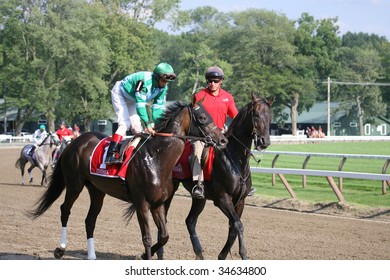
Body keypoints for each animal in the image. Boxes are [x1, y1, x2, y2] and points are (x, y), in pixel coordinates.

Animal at [29, 98, 227, 260]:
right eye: (203, 117)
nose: (223, 140)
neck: (157, 158)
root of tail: (75, 142)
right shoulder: (141, 203)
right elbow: (147, 238)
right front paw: (145, 255)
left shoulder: (157, 204)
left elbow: (164, 236)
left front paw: (144, 255)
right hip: (74, 184)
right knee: (65, 210)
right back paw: (60, 249)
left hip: (97, 190)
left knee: (90, 220)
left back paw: (91, 255)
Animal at [174, 94, 274, 260]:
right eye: (256, 115)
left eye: (269, 117)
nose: (264, 142)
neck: (234, 158)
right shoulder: (222, 199)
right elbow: (238, 225)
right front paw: (243, 254)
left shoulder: (240, 201)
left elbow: (233, 227)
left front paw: (223, 255)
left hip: (199, 199)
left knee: (190, 221)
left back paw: (199, 252)